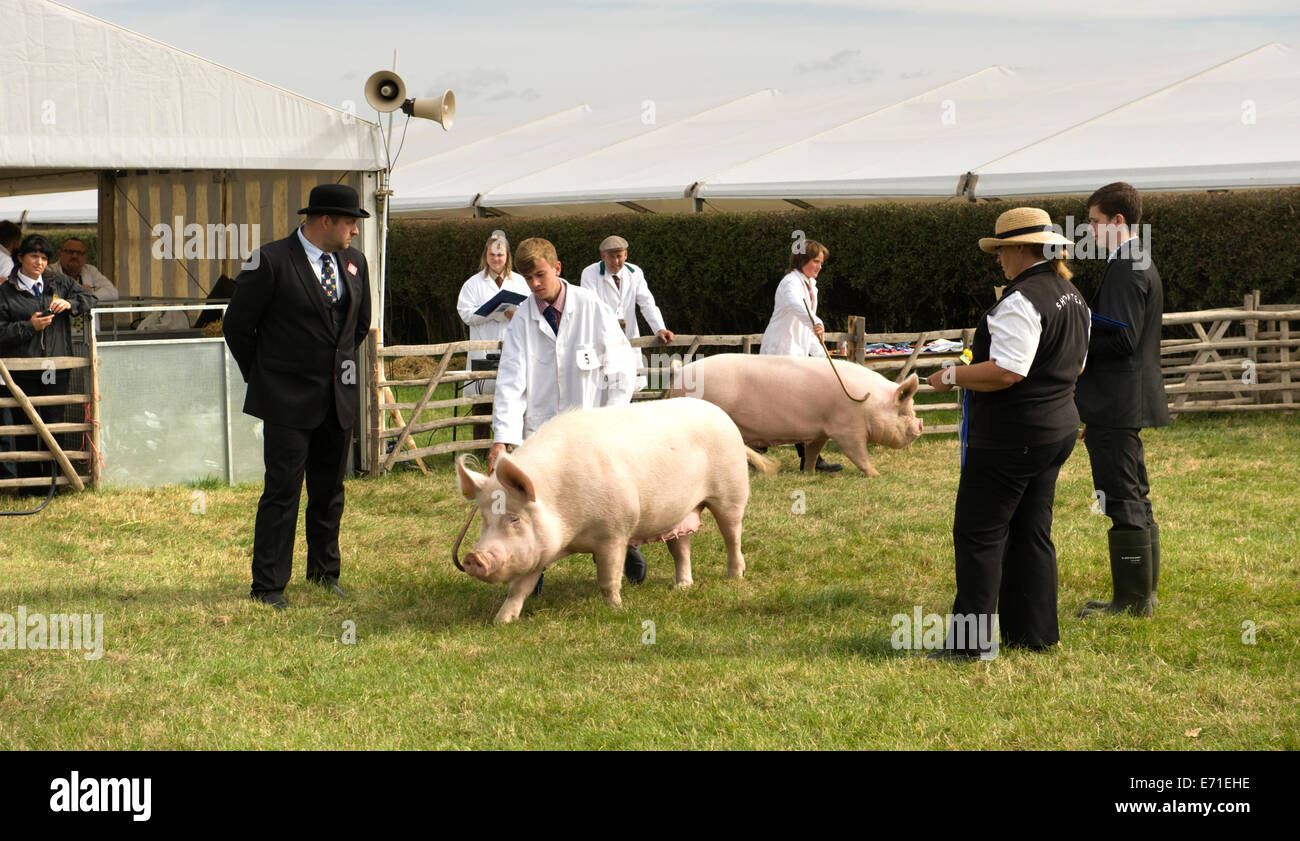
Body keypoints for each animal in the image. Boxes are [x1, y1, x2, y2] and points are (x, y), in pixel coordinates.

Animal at [454, 397, 769, 621]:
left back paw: (735, 576)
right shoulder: (540, 548)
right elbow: (519, 587)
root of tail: (722, 415)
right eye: (484, 519)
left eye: (514, 518)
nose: (473, 557)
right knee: (682, 549)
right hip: (679, 514)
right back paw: (682, 587)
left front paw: (616, 609)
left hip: (732, 492)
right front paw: (502, 621)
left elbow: (608, 578)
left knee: (732, 535)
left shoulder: (615, 533)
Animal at [670, 350, 925, 478]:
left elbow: (813, 451)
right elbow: (858, 454)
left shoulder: (821, 430)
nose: (921, 424)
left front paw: (810, 473)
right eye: (903, 412)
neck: (869, 404)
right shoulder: (847, 429)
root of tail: (680, 373)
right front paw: (877, 474)